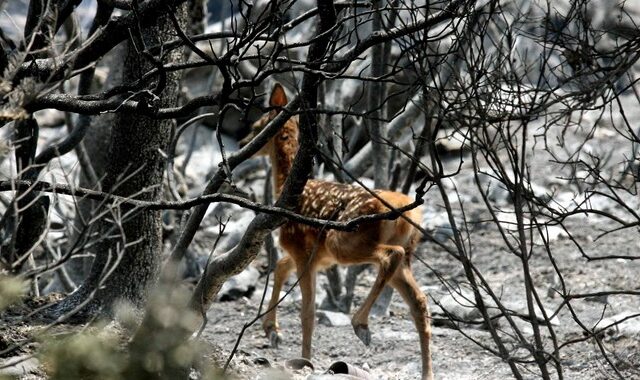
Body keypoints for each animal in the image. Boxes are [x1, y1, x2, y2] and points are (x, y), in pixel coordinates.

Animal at [240, 84, 436, 380]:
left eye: (256, 127)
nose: (243, 145)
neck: (286, 188)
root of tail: (407, 212)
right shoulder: (317, 256)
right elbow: (281, 267)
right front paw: (272, 330)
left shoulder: (301, 248)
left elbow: (307, 311)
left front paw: (304, 358)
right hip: (397, 253)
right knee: (419, 300)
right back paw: (427, 372)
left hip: (344, 240)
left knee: (391, 255)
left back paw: (361, 324)